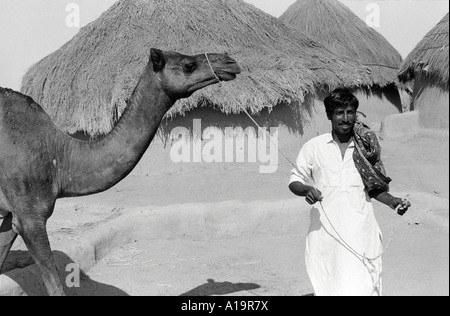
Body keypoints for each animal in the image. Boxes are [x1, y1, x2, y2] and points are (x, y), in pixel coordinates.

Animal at [0, 48, 241, 296]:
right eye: (188, 65)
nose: (230, 62)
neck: (61, 156)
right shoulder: (30, 215)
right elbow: (54, 284)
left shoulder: (11, 213)